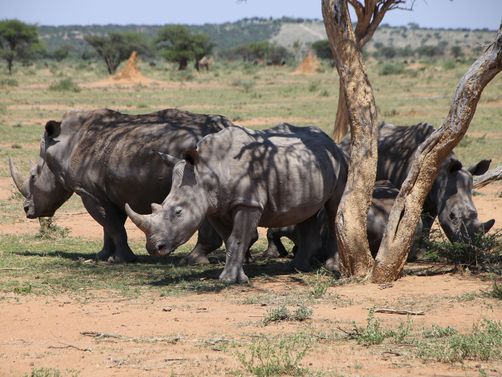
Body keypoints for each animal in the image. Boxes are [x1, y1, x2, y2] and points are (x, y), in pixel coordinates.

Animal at [125, 123, 348, 282]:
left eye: (178, 212)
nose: (154, 248)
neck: (206, 171)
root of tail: (330, 140)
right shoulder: (215, 207)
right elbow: (229, 239)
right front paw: (238, 277)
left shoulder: (248, 203)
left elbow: (239, 237)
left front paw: (228, 280)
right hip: (308, 166)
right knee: (307, 212)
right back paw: (296, 268)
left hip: (340, 161)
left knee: (333, 208)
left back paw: (332, 268)